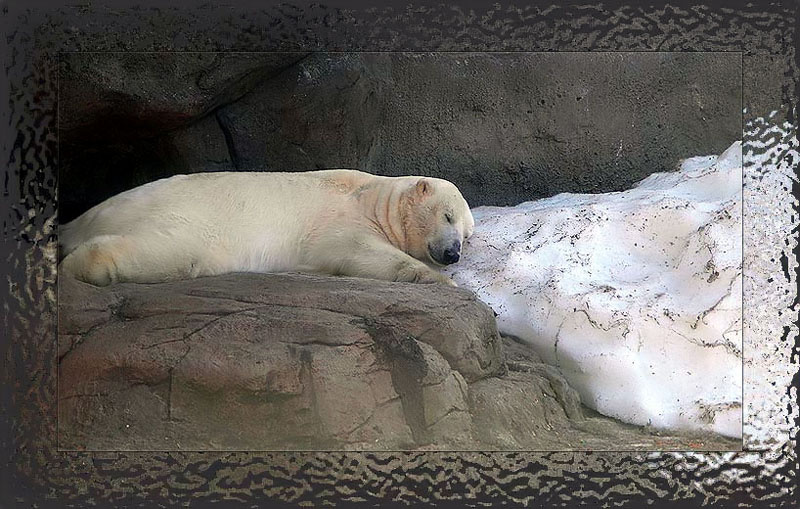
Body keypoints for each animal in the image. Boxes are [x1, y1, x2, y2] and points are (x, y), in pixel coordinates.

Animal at [59, 170, 475, 287]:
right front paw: (441, 281)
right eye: (447, 216)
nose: (453, 253)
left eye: (468, 235)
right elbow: (357, 250)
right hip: (191, 220)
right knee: (174, 251)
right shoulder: (339, 218)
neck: (374, 198)